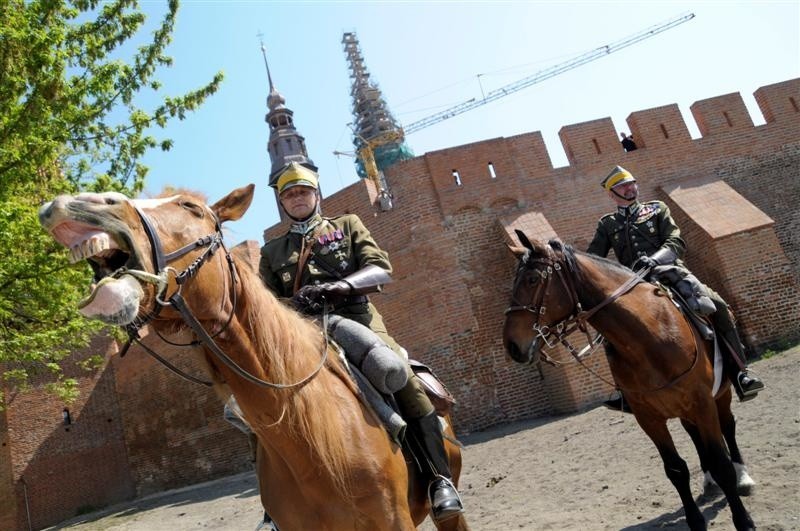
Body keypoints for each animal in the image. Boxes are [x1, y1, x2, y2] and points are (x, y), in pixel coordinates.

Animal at [504, 233, 752, 531]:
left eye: (532, 280)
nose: (511, 345)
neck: (649, 335)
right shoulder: (648, 417)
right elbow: (676, 470)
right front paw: (695, 522)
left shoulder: (702, 402)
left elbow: (721, 463)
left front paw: (744, 521)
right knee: (695, 437)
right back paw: (709, 480)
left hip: (720, 394)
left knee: (728, 426)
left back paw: (743, 476)